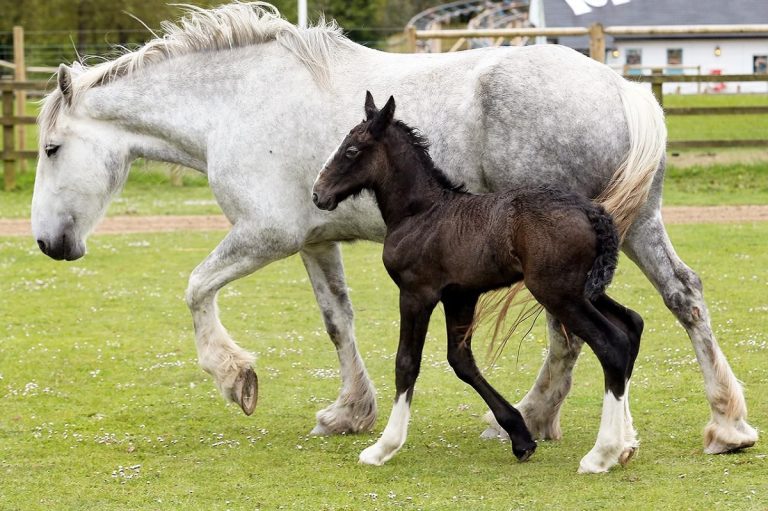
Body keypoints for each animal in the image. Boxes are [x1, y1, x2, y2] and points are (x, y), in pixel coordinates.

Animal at [311, 92, 643, 472]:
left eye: (351, 150)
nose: (318, 194)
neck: (421, 213)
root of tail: (591, 210)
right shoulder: (461, 296)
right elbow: (461, 361)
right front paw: (521, 438)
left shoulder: (416, 293)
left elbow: (406, 363)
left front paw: (383, 447)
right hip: (584, 289)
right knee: (632, 325)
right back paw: (625, 444)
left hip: (557, 293)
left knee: (612, 344)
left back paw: (601, 454)